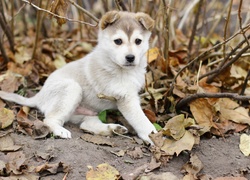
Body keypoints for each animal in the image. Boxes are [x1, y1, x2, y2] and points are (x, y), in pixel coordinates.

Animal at [0, 10, 156, 143]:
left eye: (138, 41)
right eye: (118, 41)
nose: (130, 57)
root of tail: (39, 95)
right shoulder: (125, 98)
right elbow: (141, 120)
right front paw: (153, 135)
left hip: (88, 112)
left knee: (86, 125)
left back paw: (113, 129)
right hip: (71, 89)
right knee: (49, 119)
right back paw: (60, 131)